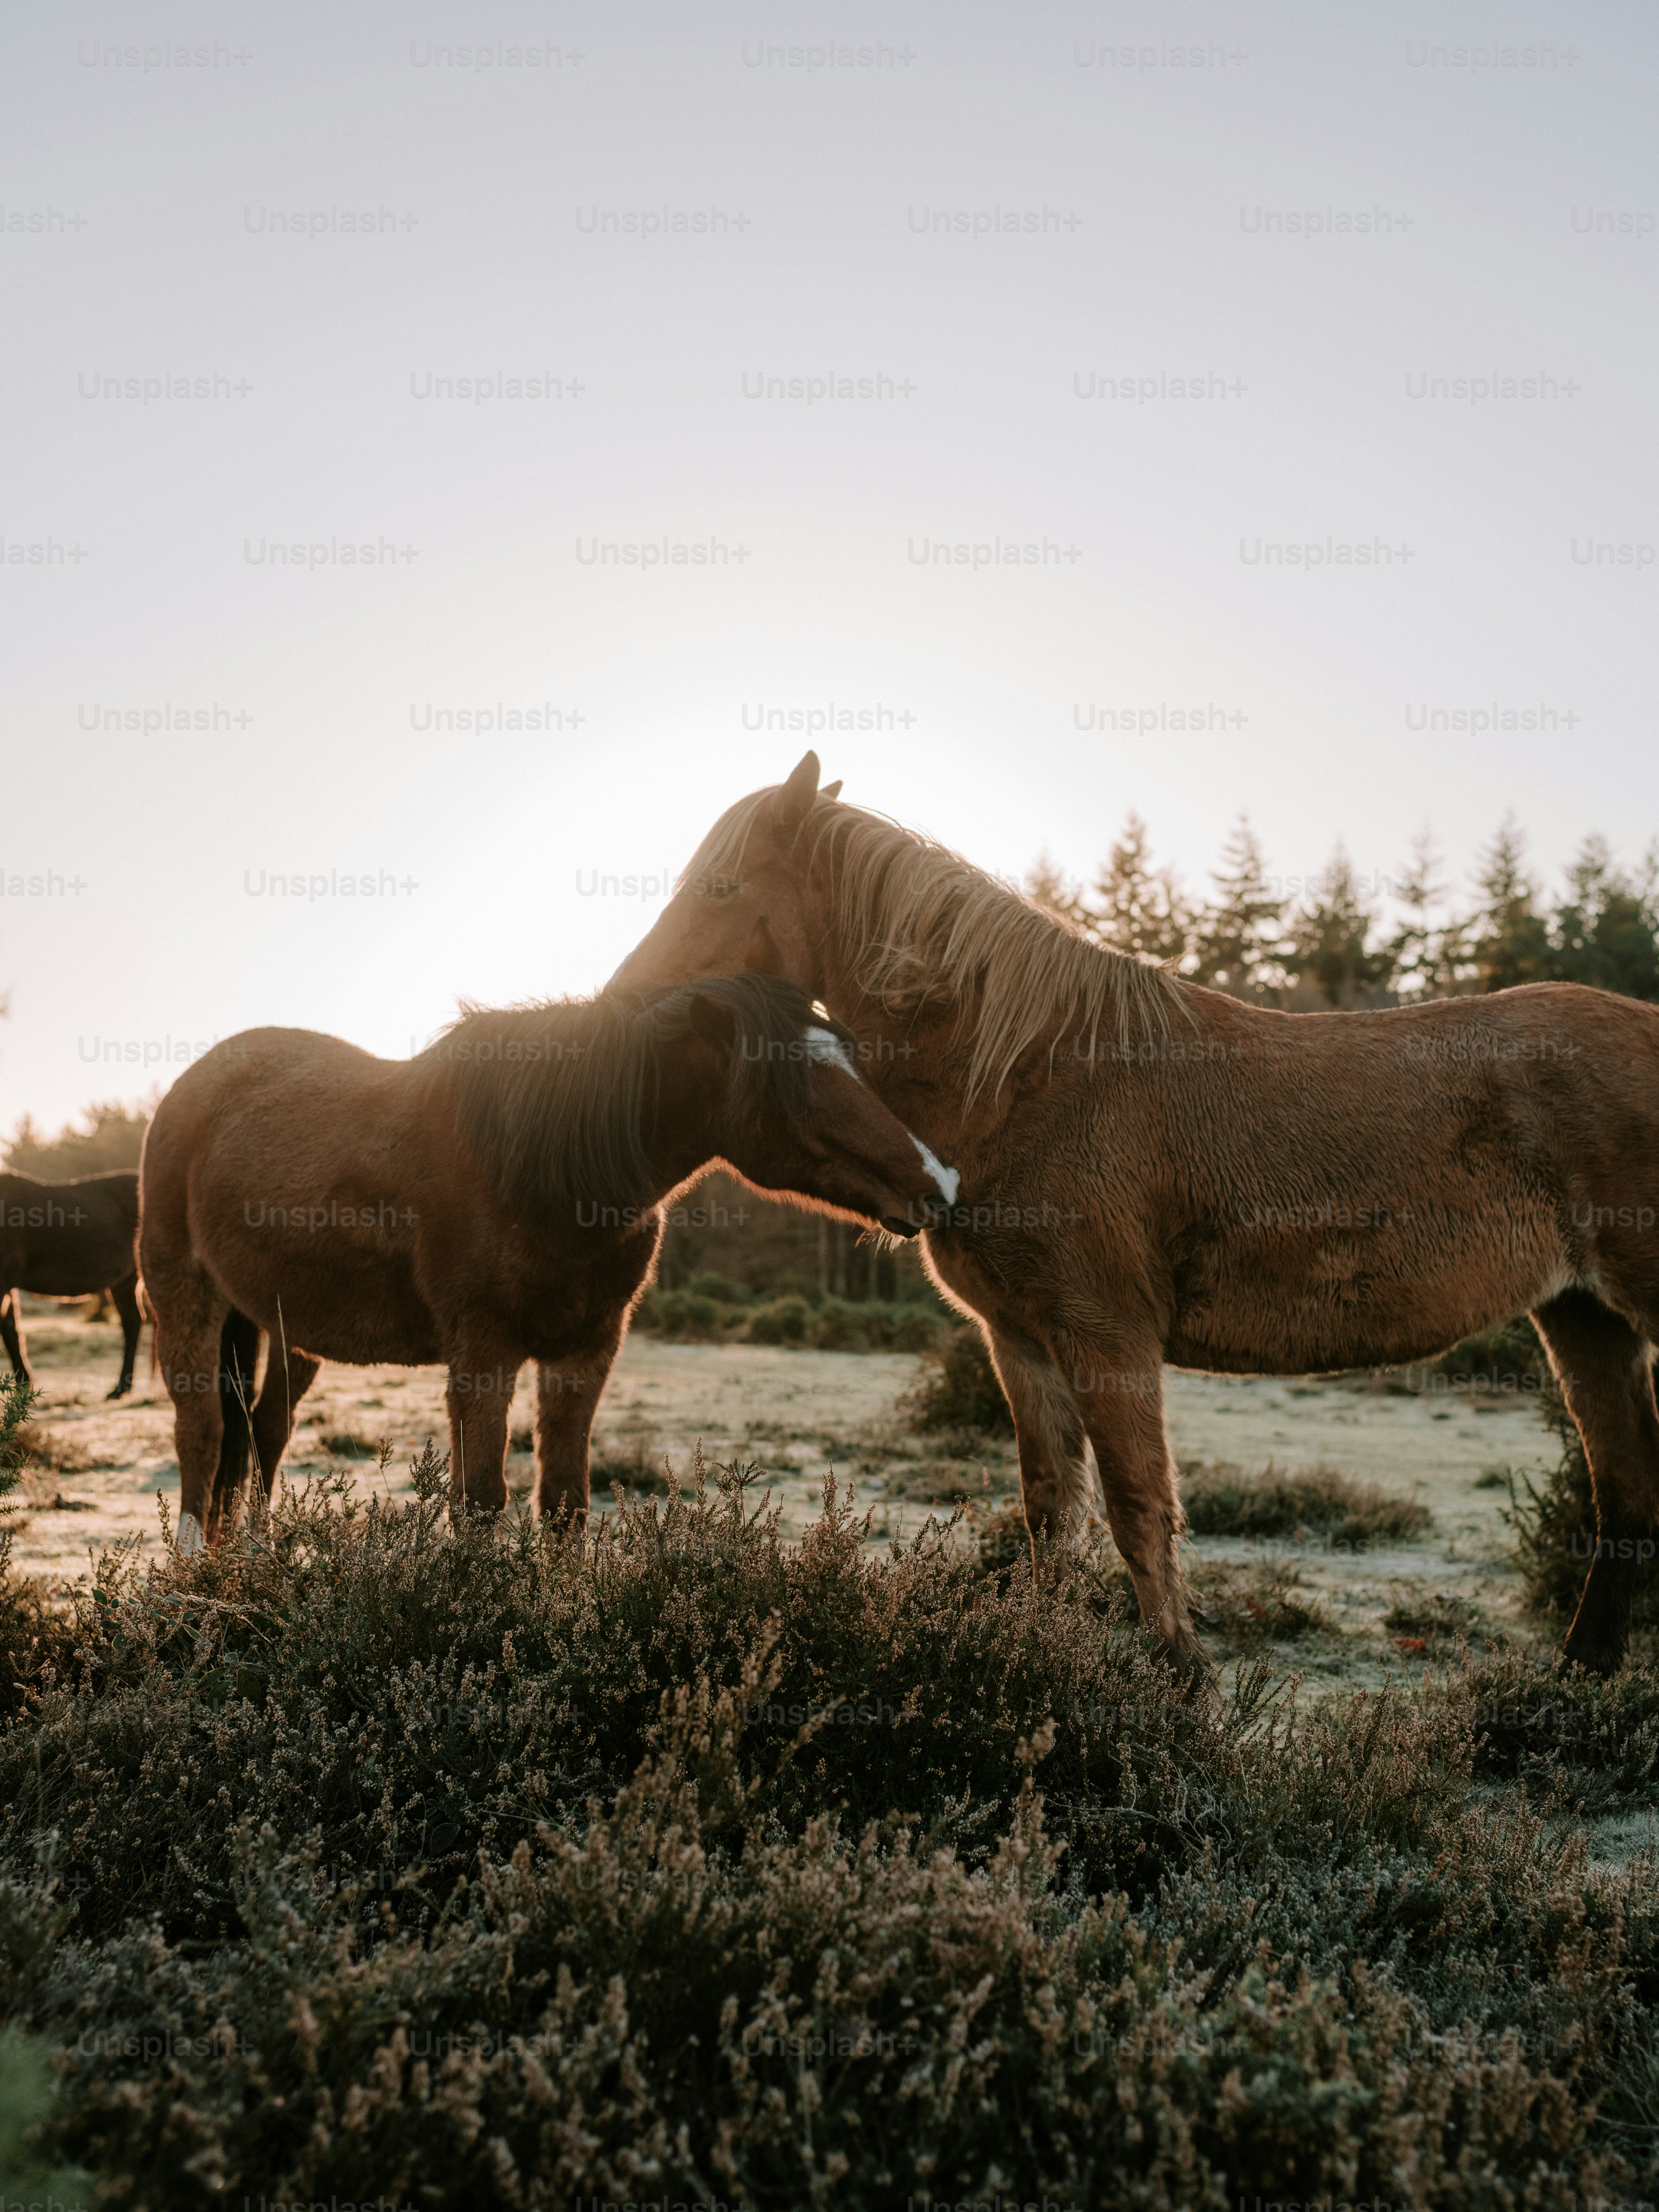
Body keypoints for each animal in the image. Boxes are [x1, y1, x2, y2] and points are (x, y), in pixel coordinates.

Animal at [0, 1169, 144, 1400]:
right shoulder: (8, 1287)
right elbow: (12, 1334)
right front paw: (24, 1385)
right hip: (125, 1281)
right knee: (132, 1323)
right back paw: (121, 1388)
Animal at [138, 974, 958, 1552]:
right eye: (797, 1086)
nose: (939, 1185)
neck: (546, 1171)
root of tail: (191, 1091)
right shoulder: (485, 1350)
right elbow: (479, 1502)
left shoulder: (584, 1349)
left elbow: (564, 1504)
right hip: (187, 1301)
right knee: (202, 1437)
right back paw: (192, 1580)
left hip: (288, 1329)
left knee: (264, 1434)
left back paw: (249, 1561)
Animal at [610, 752, 1659, 1675]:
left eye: (719, 888)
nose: (626, 1007)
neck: (1028, 1078)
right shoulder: (1021, 1341)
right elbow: (1049, 1511)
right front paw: (1036, 1656)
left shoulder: (1107, 1336)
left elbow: (1136, 1506)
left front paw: (1181, 1676)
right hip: (1582, 1318)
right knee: (1623, 1498)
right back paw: (1573, 1681)